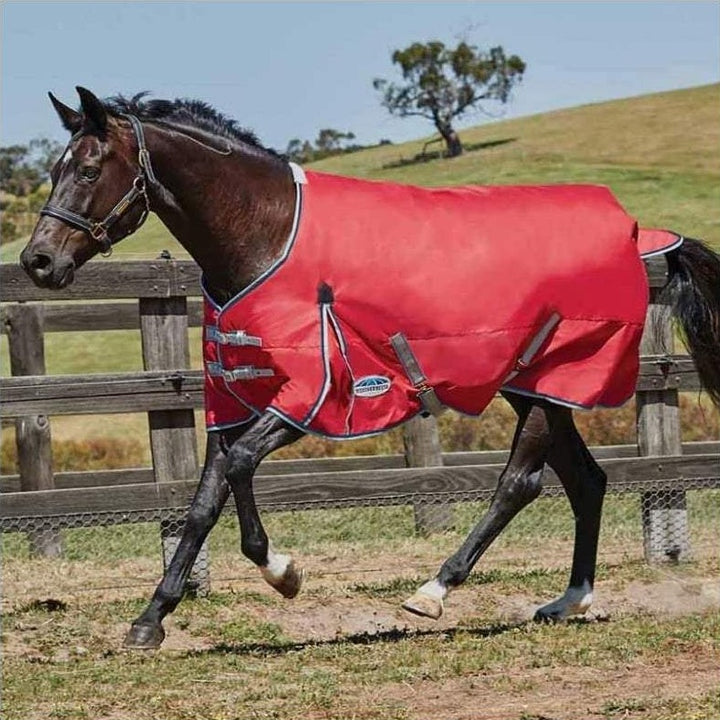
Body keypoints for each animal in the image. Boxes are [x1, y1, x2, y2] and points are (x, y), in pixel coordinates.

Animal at [19, 87, 716, 648]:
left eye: (88, 169)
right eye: (54, 169)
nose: (38, 261)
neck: (266, 237)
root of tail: (636, 230)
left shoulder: (310, 397)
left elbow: (239, 470)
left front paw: (284, 573)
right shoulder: (236, 398)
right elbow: (202, 501)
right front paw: (149, 620)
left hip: (549, 385)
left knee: (520, 483)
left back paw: (434, 591)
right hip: (534, 386)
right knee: (586, 480)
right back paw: (568, 600)